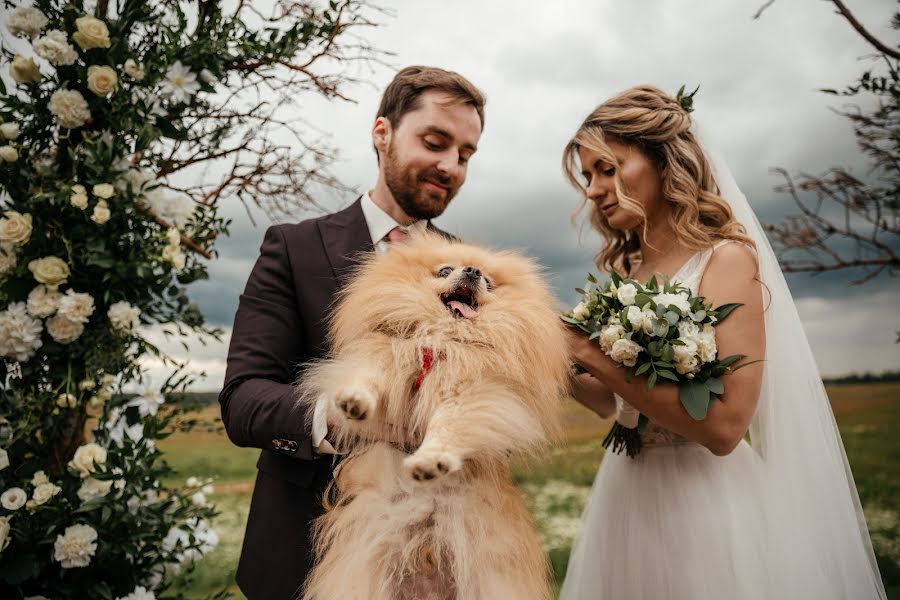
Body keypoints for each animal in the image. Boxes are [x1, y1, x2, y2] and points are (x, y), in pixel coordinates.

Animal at [300, 233, 568, 600]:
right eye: (445, 270)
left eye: (487, 280)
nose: (472, 270)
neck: (441, 338)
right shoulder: (389, 353)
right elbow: (368, 376)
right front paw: (353, 402)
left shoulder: (472, 394)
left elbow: (447, 428)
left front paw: (431, 461)